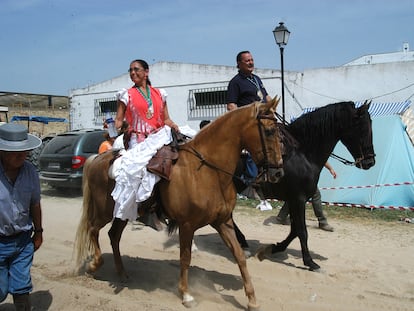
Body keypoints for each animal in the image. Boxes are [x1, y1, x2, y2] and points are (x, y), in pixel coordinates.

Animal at [73, 98, 282, 310]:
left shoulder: (223, 222)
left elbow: (239, 255)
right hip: (104, 211)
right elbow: (185, 257)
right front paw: (186, 295)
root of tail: (97, 158)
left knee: (113, 236)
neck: (208, 171)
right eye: (269, 131)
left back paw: (122, 273)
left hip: (124, 212)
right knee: (93, 229)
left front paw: (252, 299)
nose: (278, 172)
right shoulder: (187, 225)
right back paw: (93, 266)